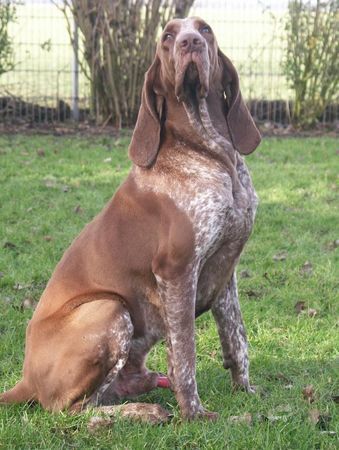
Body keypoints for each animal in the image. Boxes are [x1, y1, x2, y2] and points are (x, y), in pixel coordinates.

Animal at [0, 17, 262, 422]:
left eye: (205, 29)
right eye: (168, 36)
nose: (190, 42)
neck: (212, 155)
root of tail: (25, 380)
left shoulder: (225, 270)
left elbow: (238, 340)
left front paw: (245, 391)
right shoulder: (176, 270)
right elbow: (184, 355)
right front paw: (194, 414)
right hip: (110, 309)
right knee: (73, 410)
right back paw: (143, 411)